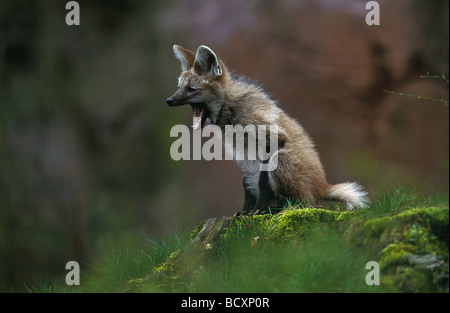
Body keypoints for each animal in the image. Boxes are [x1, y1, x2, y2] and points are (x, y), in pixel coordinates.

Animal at [166, 44, 370, 214]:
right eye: (179, 87)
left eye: (191, 89)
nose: (168, 100)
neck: (231, 108)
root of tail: (323, 185)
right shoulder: (244, 156)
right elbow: (247, 186)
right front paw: (245, 213)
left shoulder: (271, 141)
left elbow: (263, 184)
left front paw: (259, 211)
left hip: (281, 160)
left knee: (305, 202)